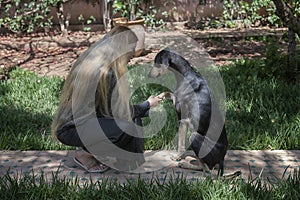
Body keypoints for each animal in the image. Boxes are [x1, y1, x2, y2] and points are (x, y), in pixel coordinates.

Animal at [149, 47, 229, 176]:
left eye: (156, 63)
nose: (148, 75)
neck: (185, 74)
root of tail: (222, 158)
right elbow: (169, 93)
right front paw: (159, 97)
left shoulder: (183, 119)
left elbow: (180, 144)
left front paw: (177, 157)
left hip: (194, 137)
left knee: (206, 168)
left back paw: (186, 164)